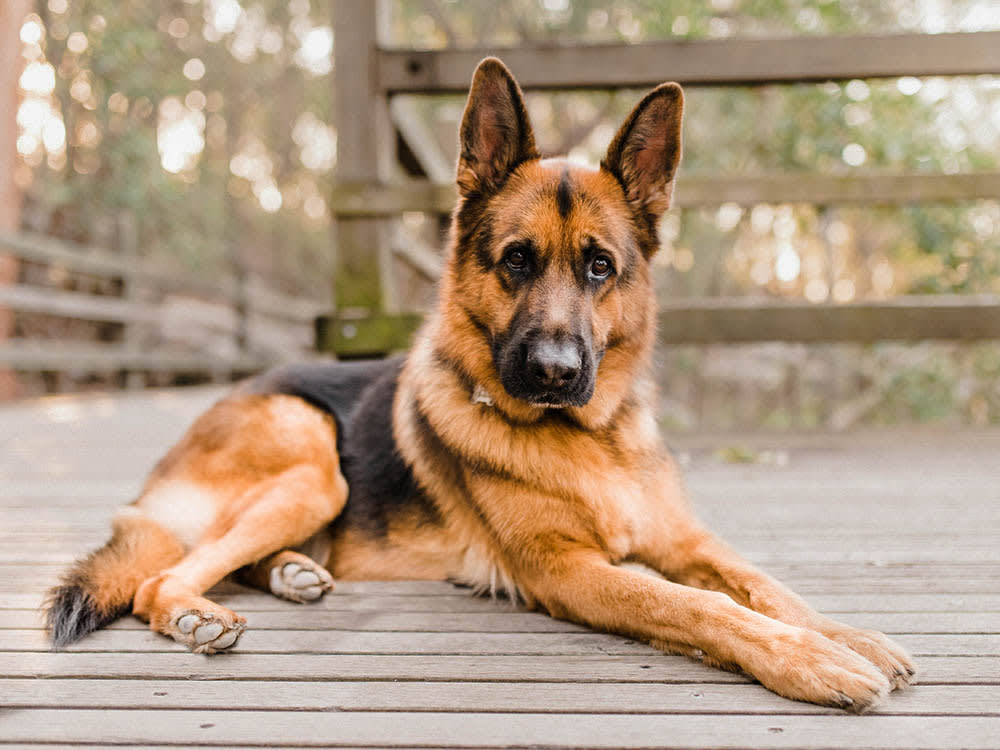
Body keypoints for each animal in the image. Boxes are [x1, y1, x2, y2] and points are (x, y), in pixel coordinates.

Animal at [45, 58, 916, 712]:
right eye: (517, 261)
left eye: (600, 267)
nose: (555, 372)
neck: (591, 441)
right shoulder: (566, 572)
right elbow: (696, 604)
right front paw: (810, 659)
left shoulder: (685, 542)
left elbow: (763, 584)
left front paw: (847, 634)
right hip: (312, 461)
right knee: (159, 579)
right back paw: (197, 614)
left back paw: (290, 573)